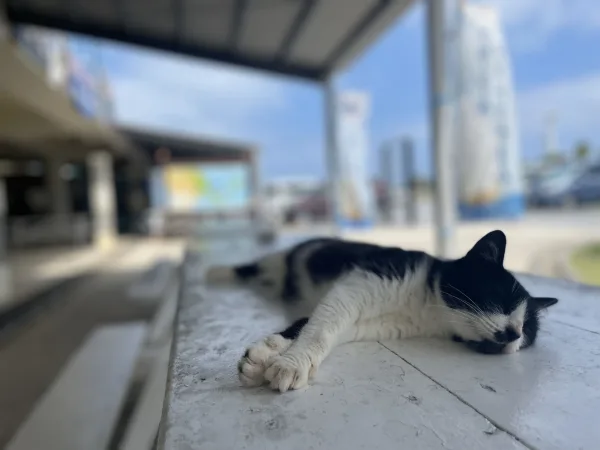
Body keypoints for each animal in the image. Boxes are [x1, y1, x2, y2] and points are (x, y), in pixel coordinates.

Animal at [205, 230, 556, 392]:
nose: (513, 333)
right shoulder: (360, 282)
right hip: (280, 259)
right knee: (252, 266)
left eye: (527, 331)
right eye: (502, 300)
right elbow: (321, 326)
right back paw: (216, 272)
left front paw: (267, 354)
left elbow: (318, 326)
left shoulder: (374, 322)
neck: (426, 305)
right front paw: (290, 363)